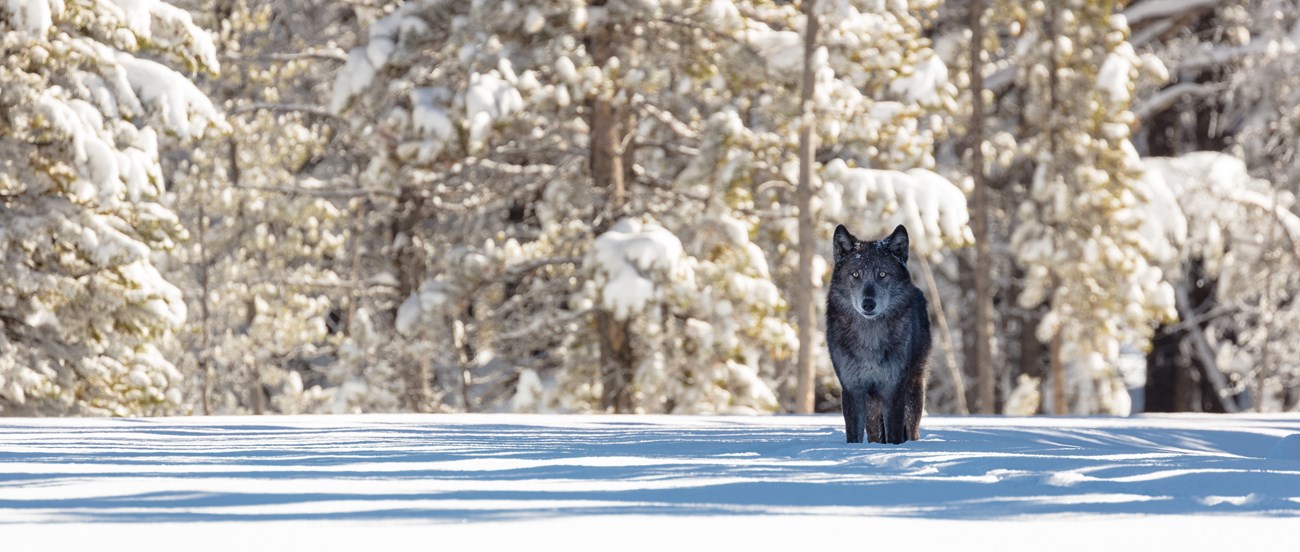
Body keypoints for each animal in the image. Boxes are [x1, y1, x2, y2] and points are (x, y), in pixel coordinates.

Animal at [826, 223, 930, 444]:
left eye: (882, 274)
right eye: (855, 274)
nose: (868, 303)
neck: (870, 339)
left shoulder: (894, 389)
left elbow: (894, 434)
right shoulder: (853, 389)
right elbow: (853, 436)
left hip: (913, 391)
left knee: (912, 430)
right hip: (873, 405)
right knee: (874, 433)